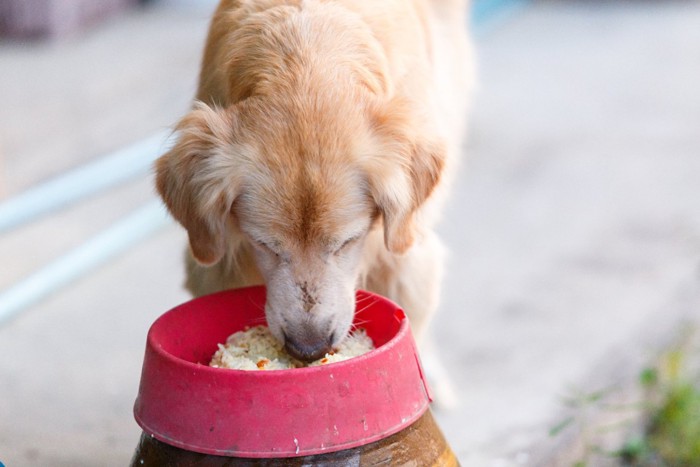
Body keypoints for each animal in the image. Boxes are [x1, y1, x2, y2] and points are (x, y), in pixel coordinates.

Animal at [156, 0, 474, 370]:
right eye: (264, 244)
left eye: (348, 242)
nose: (309, 348)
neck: (305, 65)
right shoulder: (220, 257)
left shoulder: (403, 256)